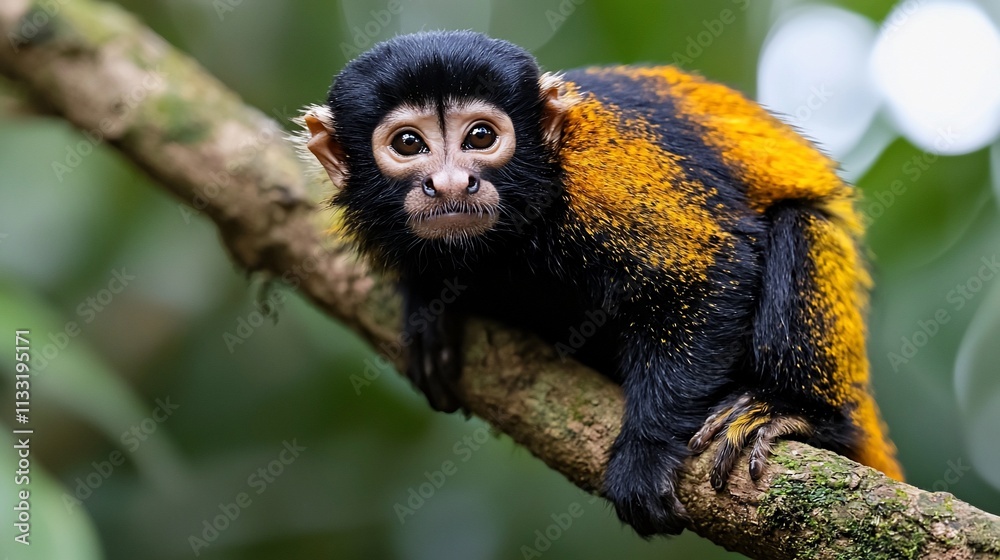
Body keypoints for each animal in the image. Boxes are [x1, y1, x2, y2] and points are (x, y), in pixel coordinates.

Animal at [300, 30, 903, 537]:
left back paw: (799, 412)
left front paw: (646, 450)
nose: (450, 183)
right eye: (408, 144)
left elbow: (710, 267)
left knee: (800, 224)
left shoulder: (600, 172)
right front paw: (429, 311)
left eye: (480, 137)